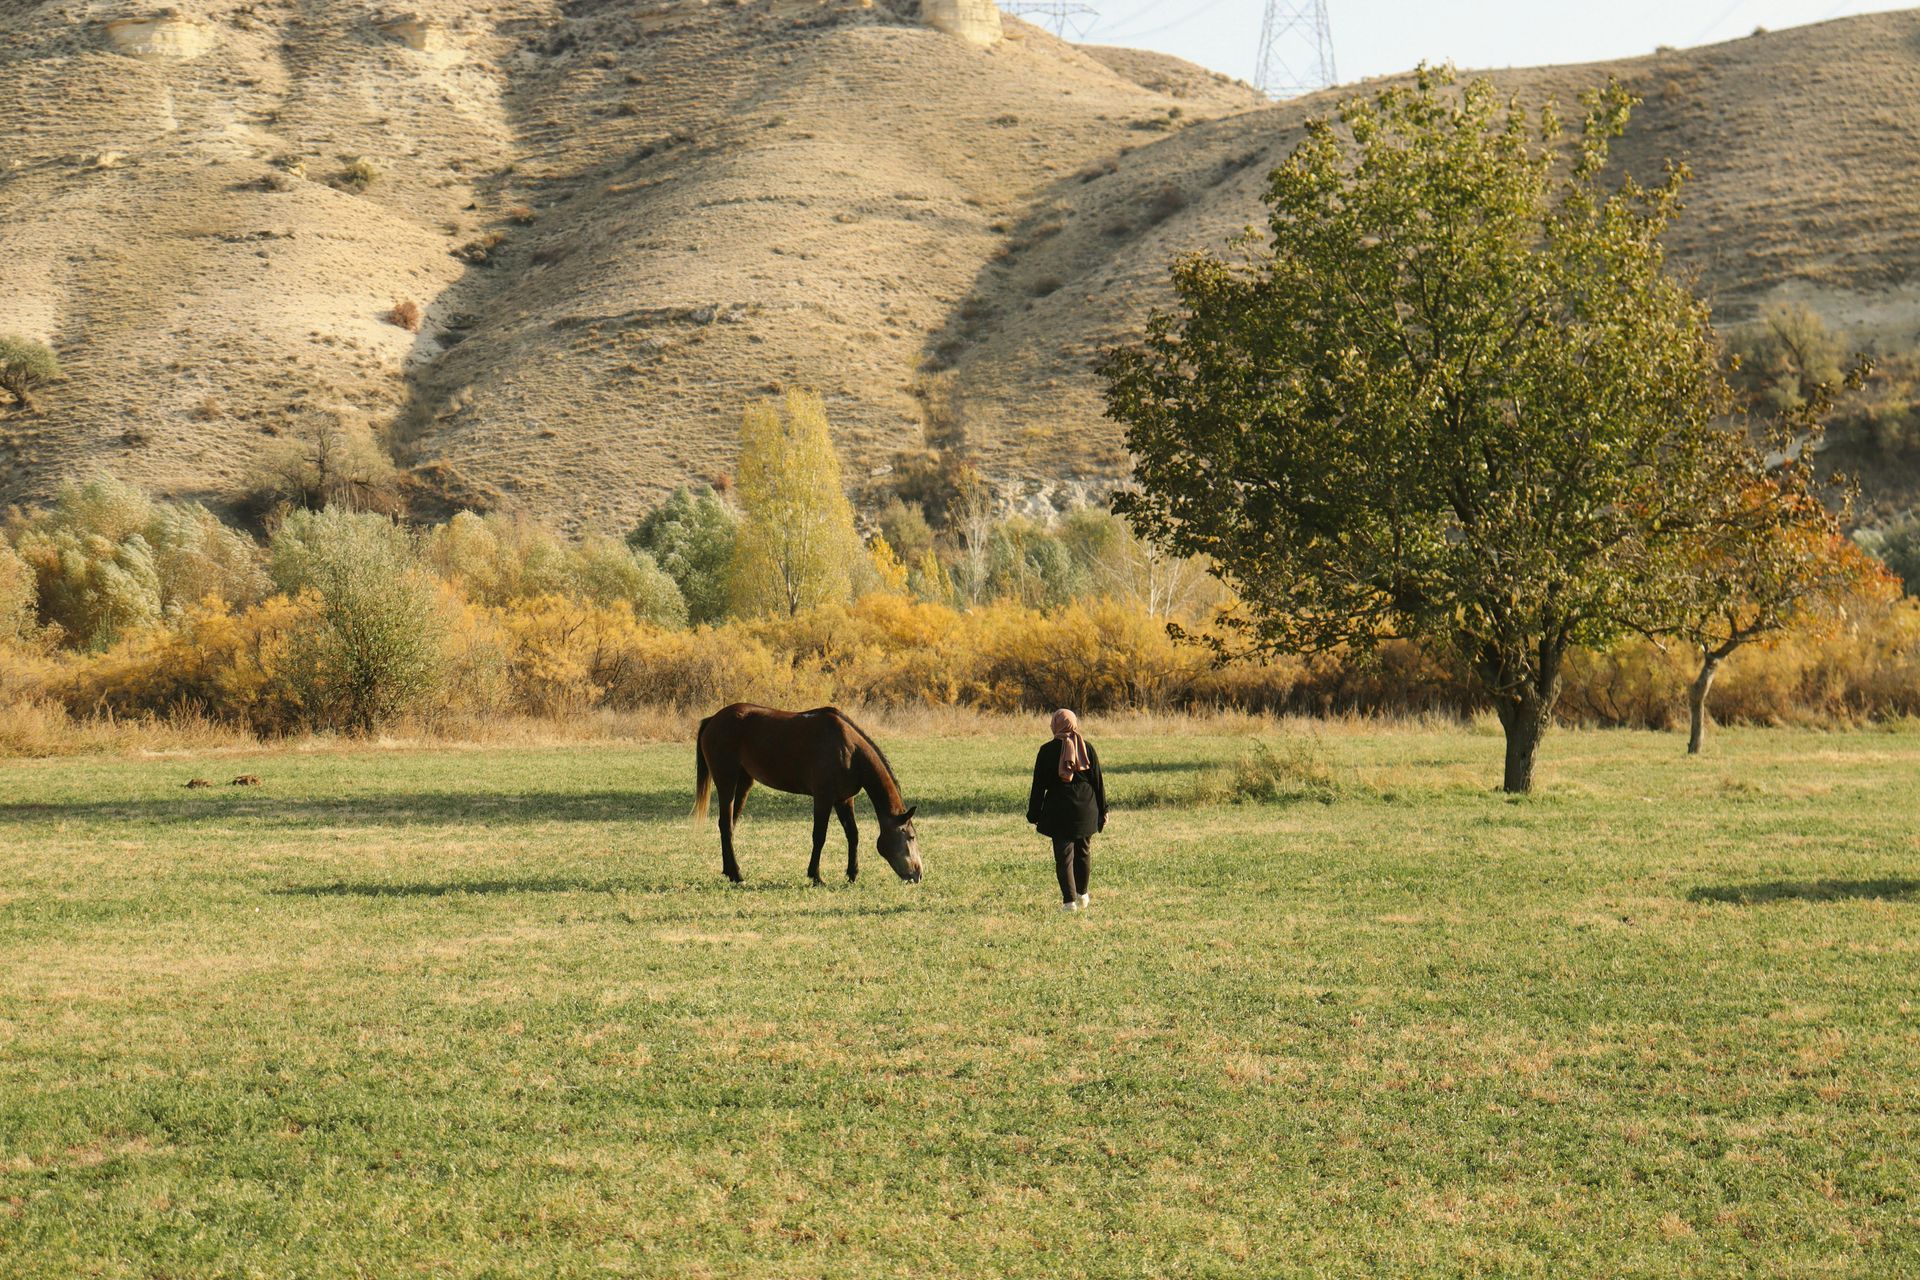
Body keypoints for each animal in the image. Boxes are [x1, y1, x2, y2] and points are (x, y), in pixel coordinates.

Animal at [693, 704, 924, 886]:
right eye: (910, 837)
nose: (918, 874)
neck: (849, 749)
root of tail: (713, 719)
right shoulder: (823, 798)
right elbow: (819, 836)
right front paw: (816, 876)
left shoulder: (844, 800)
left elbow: (853, 835)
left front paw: (852, 874)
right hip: (727, 781)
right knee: (725, 824)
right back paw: (737, 874)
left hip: (744, 783)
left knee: (730, 825)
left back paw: (730, 871)